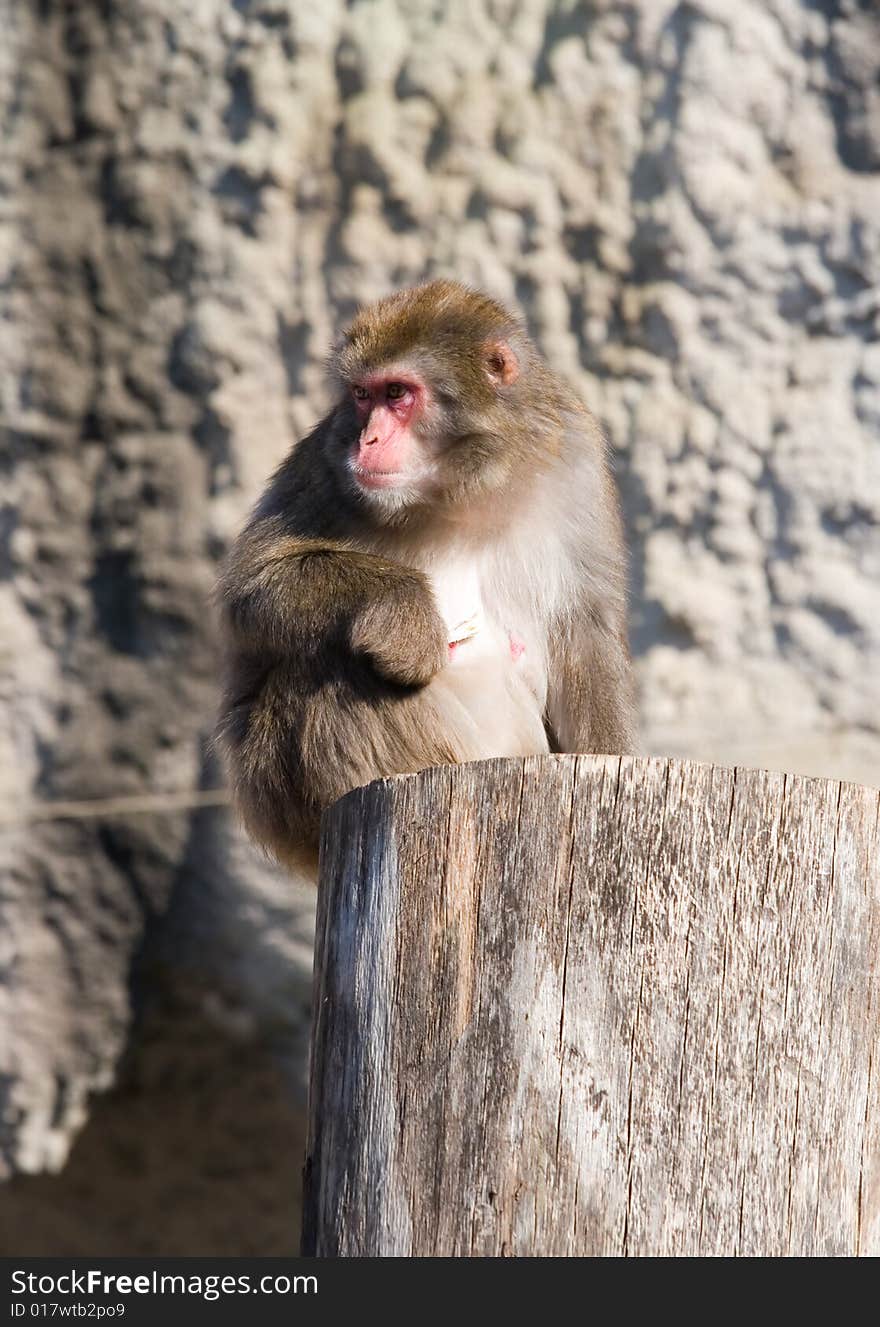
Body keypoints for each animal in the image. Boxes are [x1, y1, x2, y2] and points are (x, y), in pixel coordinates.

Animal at [216, 277, 637, 870]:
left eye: (398, 393)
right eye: (362, 396)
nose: (366, 441)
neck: (462, 490)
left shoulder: (573, 459)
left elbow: (585, 629)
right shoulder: (325, 458)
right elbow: (253, 583)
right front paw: (406, 613)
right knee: (325, 672)